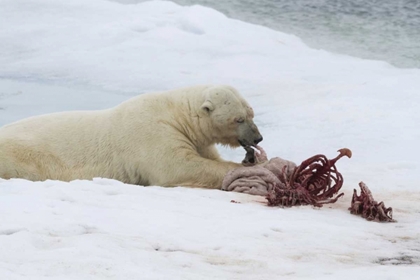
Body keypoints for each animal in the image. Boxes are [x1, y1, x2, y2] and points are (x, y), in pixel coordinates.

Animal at [0, 85, 262, 189]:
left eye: (252, 113)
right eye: (239, 119)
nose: (258, 138)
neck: (177, 115)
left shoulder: (195, 139)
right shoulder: (153, 132)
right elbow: (177, 167)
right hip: (21, 158)